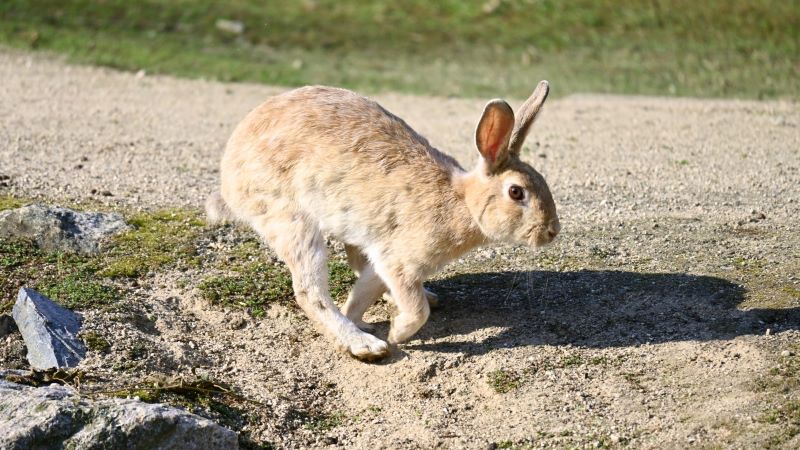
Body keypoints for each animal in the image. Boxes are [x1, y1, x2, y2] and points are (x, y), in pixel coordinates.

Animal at [206, 81, 556, 362]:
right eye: (516, 192)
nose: (551, 232)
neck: (464, 203)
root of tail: (229, 179)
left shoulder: (384, 258)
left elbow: (366, 288)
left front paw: (365, 316)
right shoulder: (398, 260)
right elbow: (415, 310)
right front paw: (395, 334)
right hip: (291, 220)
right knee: (309, 290)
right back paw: (364, 346)